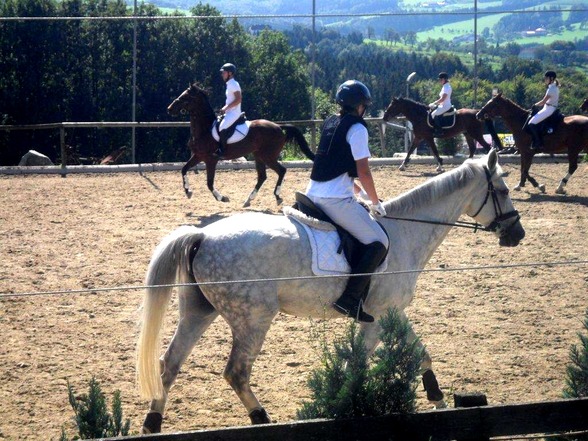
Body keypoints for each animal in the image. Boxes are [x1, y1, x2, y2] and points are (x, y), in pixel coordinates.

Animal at [137, 150, 524, 432]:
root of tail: (202, 235)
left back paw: (153, 423)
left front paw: (437, 397)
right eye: (504, 192)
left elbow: (421, 354)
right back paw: (261, 419)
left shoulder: (392, 311)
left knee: (169, 364)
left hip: (199, 311)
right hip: (253, 318)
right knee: (236, 372)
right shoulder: (376, 319)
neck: (405, 231)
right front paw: (345, 403)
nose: (516, 234)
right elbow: (358, 362)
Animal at [168, 84, 314, 206]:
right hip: (258, 155)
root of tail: (278, 127)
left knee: (281, 171)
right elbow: (183, 169)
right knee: (262, 176)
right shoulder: (198, 156)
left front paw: (222, 198)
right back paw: (249, 200)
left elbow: (209, 183)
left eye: (185, 97)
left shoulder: (211, 159)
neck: (204, 129)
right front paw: (188, 191)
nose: (170, 108)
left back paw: (277, 196)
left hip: (268, 156)